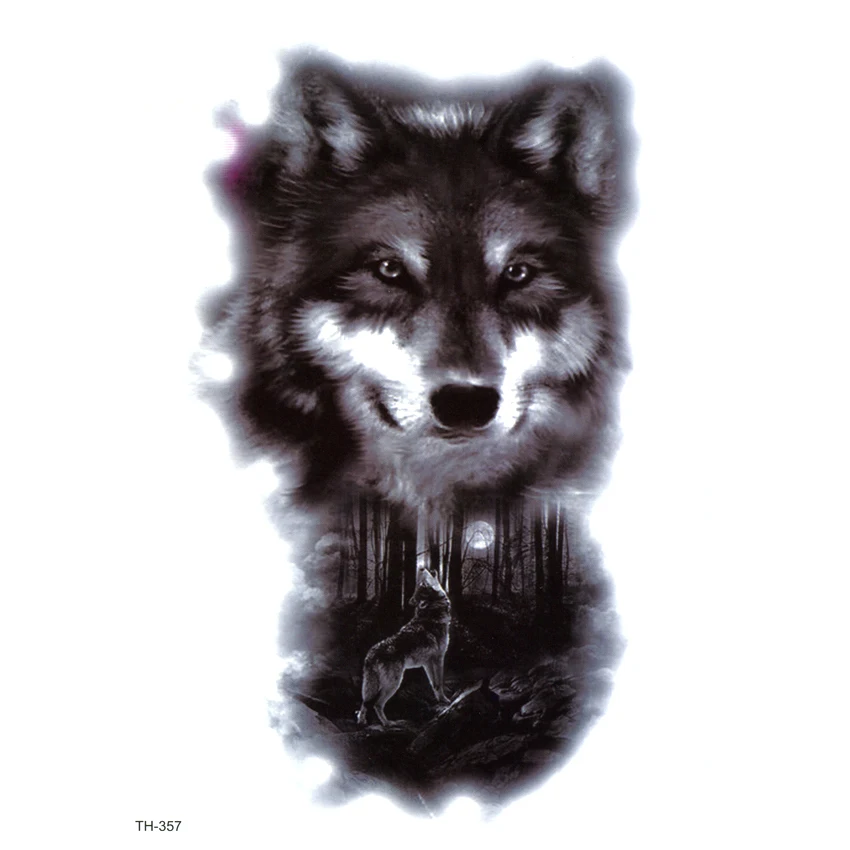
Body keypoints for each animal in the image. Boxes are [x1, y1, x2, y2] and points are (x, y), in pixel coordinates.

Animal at [357, 567, 452, 726]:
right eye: (422, 584)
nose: (422, 567)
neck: (432, 611)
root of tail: (370, 655)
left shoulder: (427, 662)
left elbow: (434, 684)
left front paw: (439, 700)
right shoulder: (439, 658)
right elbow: (439, 682)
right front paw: (445, 700)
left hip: (371, 686)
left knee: (365, 702)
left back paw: (362, 721)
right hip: (394, 683)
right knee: (376, 704)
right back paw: (388, 724)